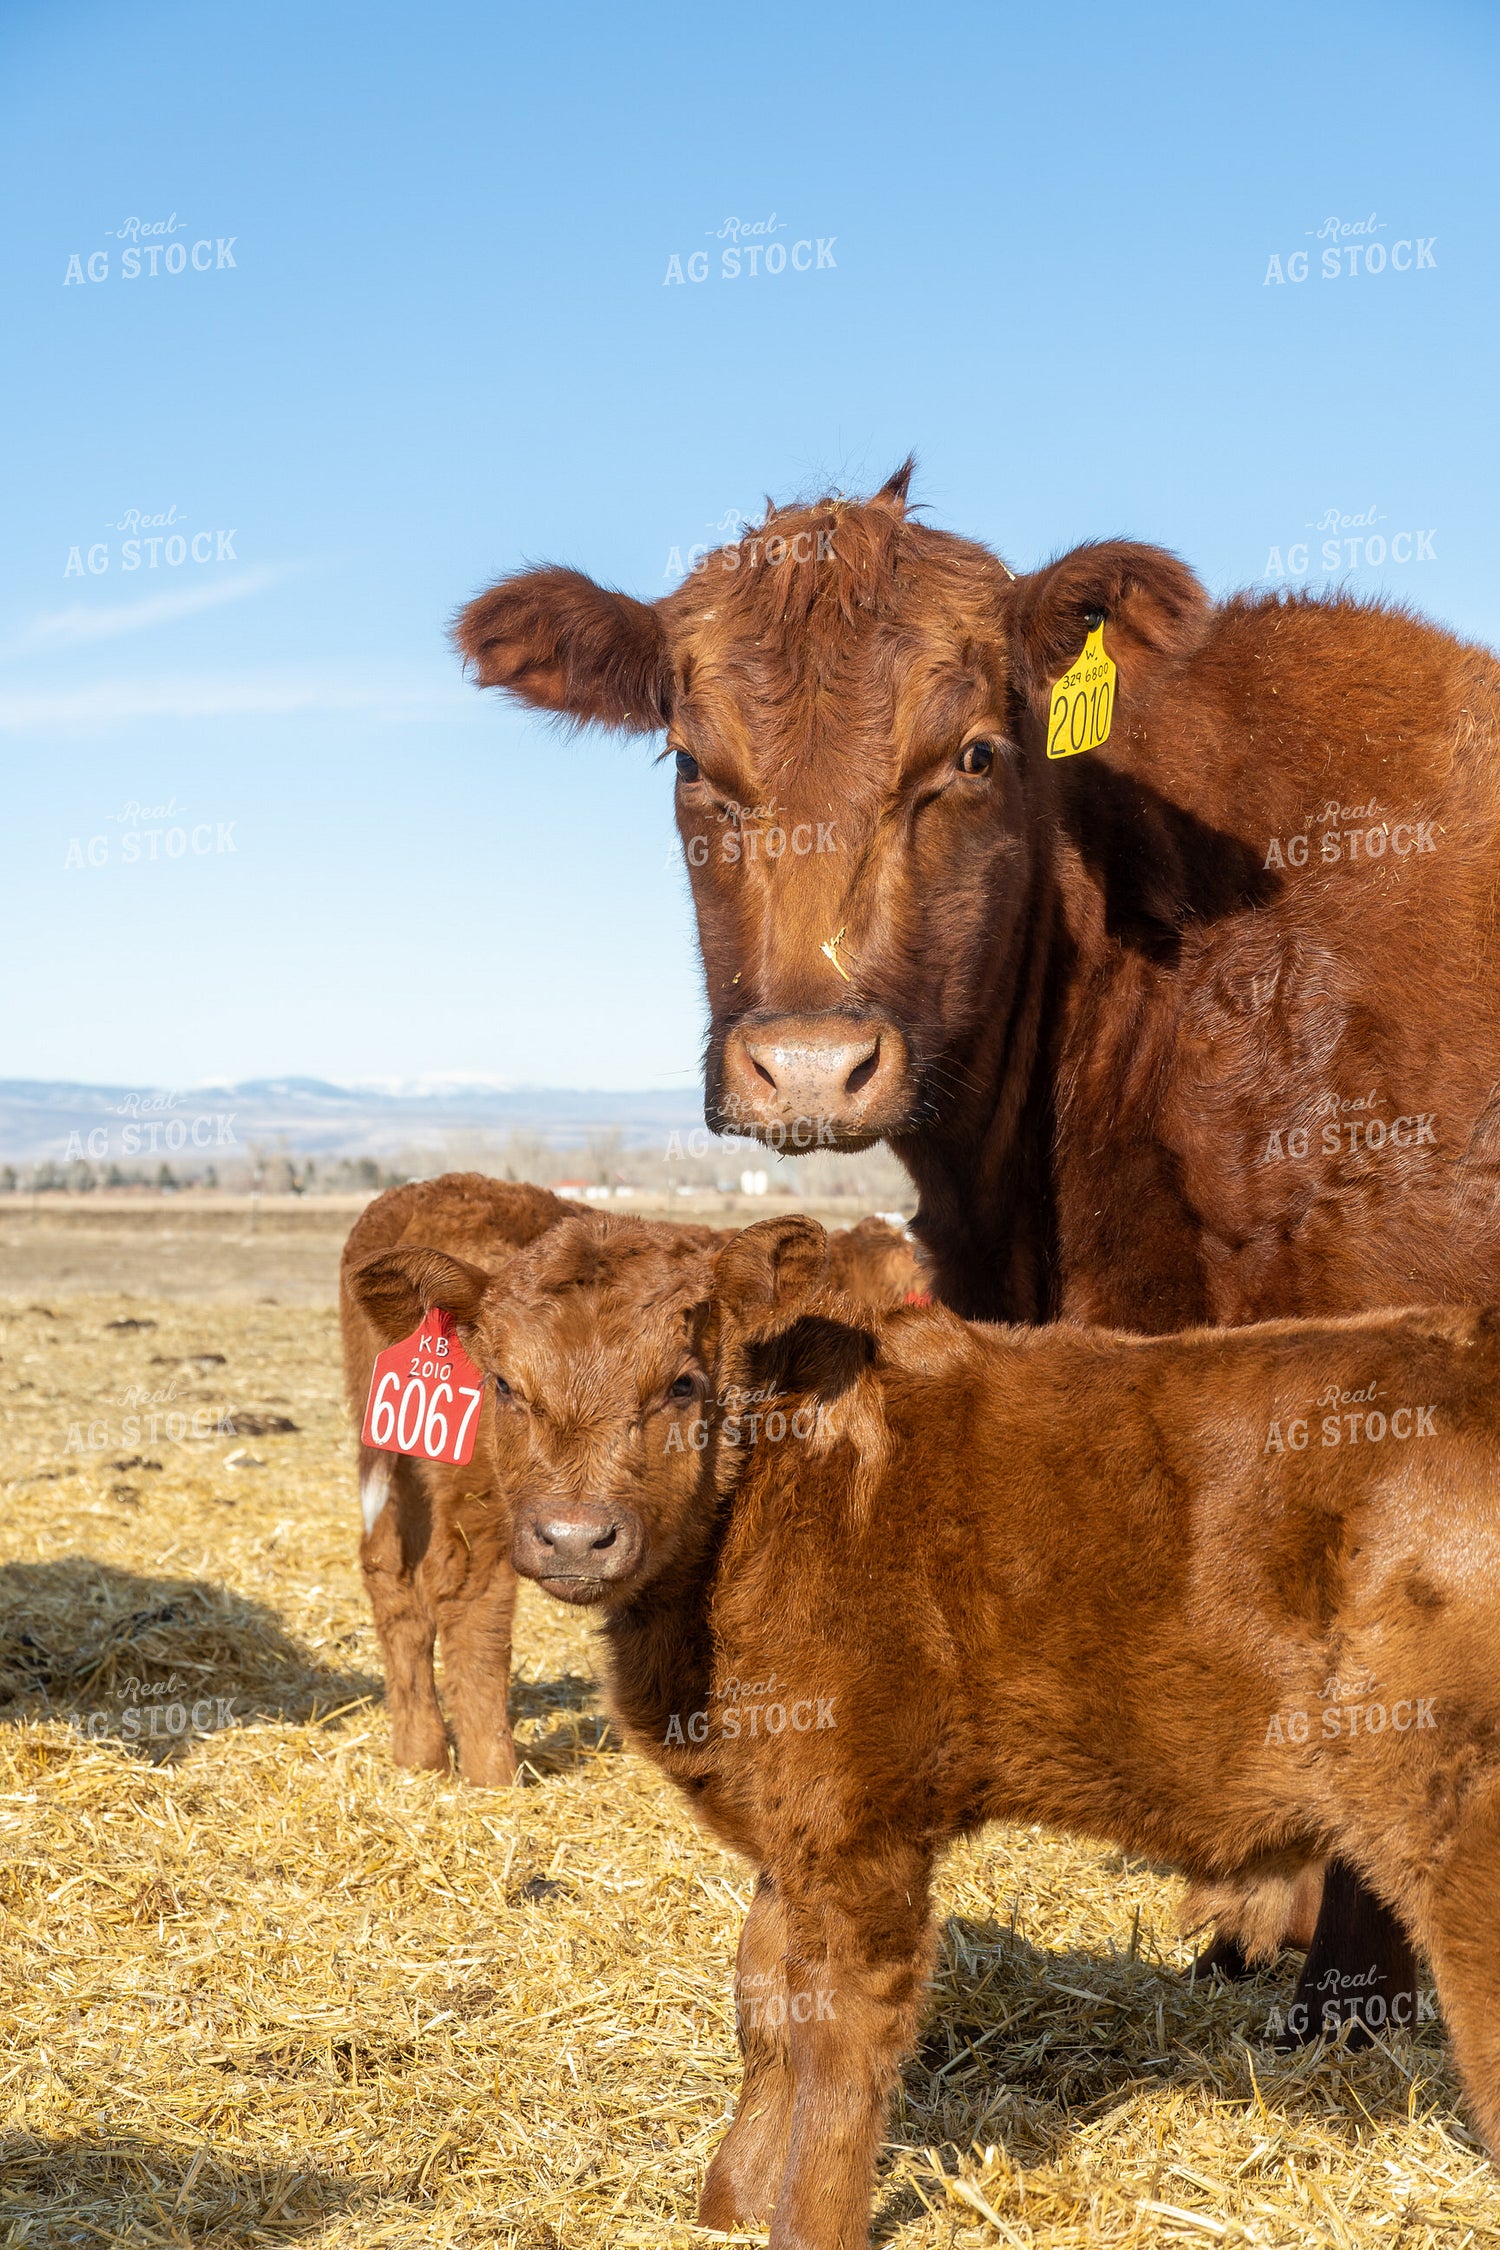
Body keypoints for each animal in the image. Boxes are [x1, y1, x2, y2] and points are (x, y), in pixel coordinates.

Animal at [341, 1178, 926, 1782]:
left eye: (682, 1383)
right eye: (502, 1383)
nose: (575, 1539)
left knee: (388, 1569)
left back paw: (419, 1756)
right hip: (476, 1498)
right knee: (467, 1592)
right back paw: (495, 1773)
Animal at [376, 1210, 1500, 2247]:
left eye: (684, 1384)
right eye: (505, 1386)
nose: (576, 1536)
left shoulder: (860, 1822)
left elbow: (840, 2037)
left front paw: (808, 2222)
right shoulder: (794, 1818)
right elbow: (764, 2002)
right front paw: (733, 2201)